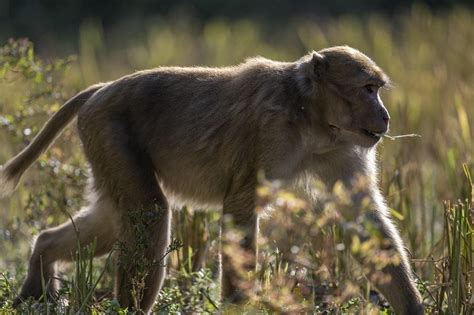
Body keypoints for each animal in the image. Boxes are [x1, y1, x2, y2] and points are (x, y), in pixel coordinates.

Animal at [0, 45, 422, 314]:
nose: (385, 116)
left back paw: (40, 266)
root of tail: (101, 90)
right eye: (368, 89)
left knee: (111, 218)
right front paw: (239, 307)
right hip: (108, 131)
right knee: (150, 212)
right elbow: (239, 210)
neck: (307, 114)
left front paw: (414, 307)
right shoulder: (269, 131)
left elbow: (365, 221)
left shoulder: (340, 149)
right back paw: (124, 307)